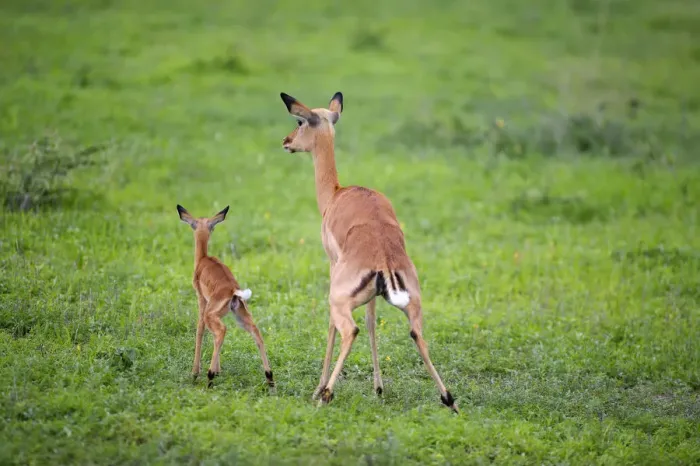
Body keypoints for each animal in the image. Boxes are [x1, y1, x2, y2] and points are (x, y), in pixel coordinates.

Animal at [177, 204, 273, 388]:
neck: (203, 260)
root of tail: (233, 290)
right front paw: (218, 369)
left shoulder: (201, 299)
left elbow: (199, 329)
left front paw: (195, 373)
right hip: (241, 315)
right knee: (256, 332)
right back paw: (270, 379)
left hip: (212, 314)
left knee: (221, 331)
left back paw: (209, 376)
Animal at [278, 91, 458, 412]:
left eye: (299, 122)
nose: (286, 141)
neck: (336, 193)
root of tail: (385, 260)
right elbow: (373, 323)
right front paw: (378, 388)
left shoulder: (331, 263)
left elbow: (333, 327)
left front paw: (318, 388)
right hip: (413, 302)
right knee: (417, 334)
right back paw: (449, 399)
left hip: (339, 299)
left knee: (349, 330)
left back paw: (325, 393)